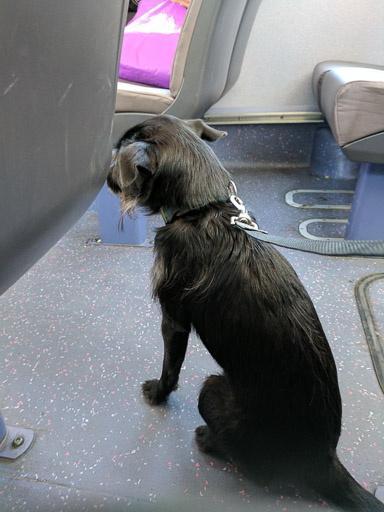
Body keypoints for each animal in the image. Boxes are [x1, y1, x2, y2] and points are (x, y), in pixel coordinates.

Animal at [106, 114, 382, 510]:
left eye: (118, 159)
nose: (106, 176)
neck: (201, 208)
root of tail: (325, 461)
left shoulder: (173, 320)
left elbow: (170, 367)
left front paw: (158, 394)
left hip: (212, 390)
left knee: (257, 471)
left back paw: (208, 440)